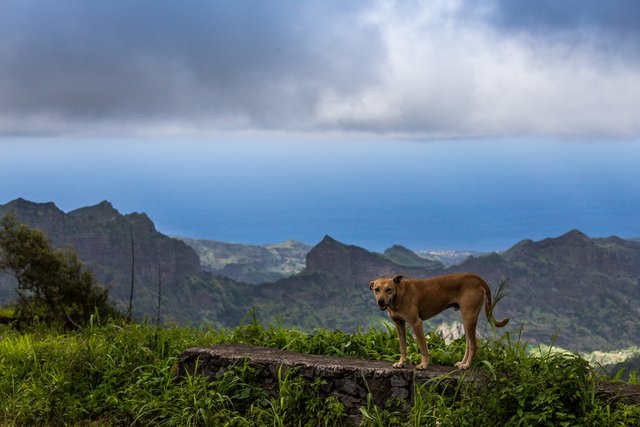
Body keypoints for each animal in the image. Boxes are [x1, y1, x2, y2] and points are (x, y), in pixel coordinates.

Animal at [370, 274, 510, 372]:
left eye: (389, 289)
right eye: (377, 289)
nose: (381, 301)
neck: (399, 294)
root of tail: (475, 278)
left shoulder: (416, 323)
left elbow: (423, 348)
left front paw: (423, 365)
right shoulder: (399, 324)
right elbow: (403, 347)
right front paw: (401, 363)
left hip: (469, 317)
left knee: (474, 346)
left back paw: (467, 366)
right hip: (466, 320)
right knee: (469, 345)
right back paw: (463, 363)